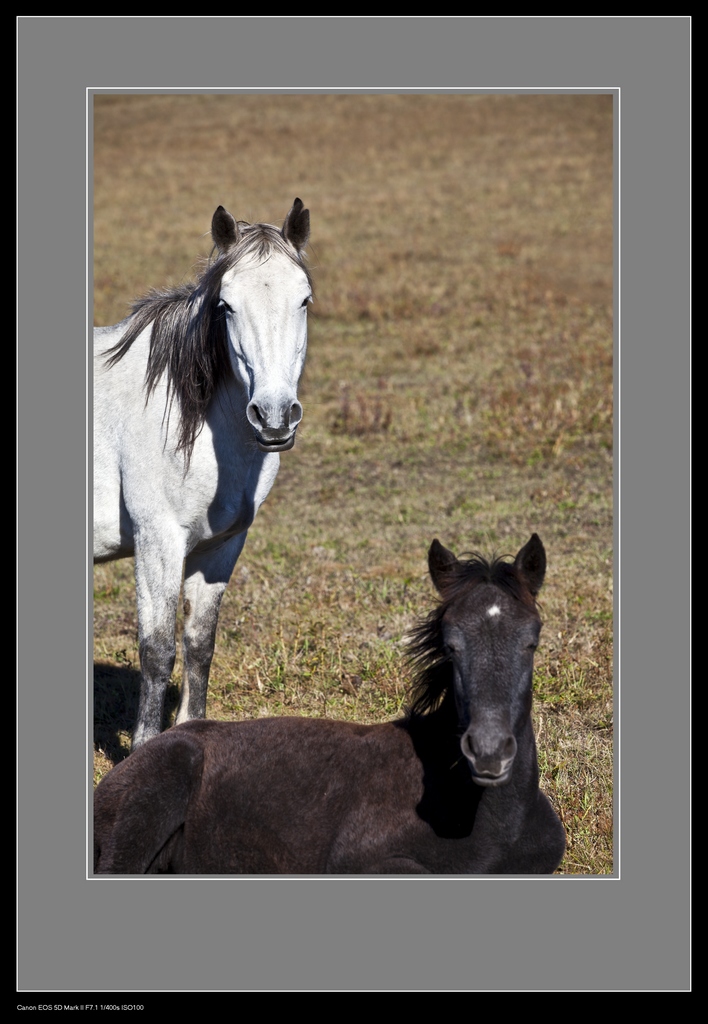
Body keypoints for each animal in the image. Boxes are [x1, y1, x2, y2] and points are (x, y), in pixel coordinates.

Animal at [94, 197, 313, 745]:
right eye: (226, 306)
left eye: (304, 300)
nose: (274, 417)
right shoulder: (158, 540)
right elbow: (156, 651)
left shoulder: (220, 547)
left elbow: (199, 645)